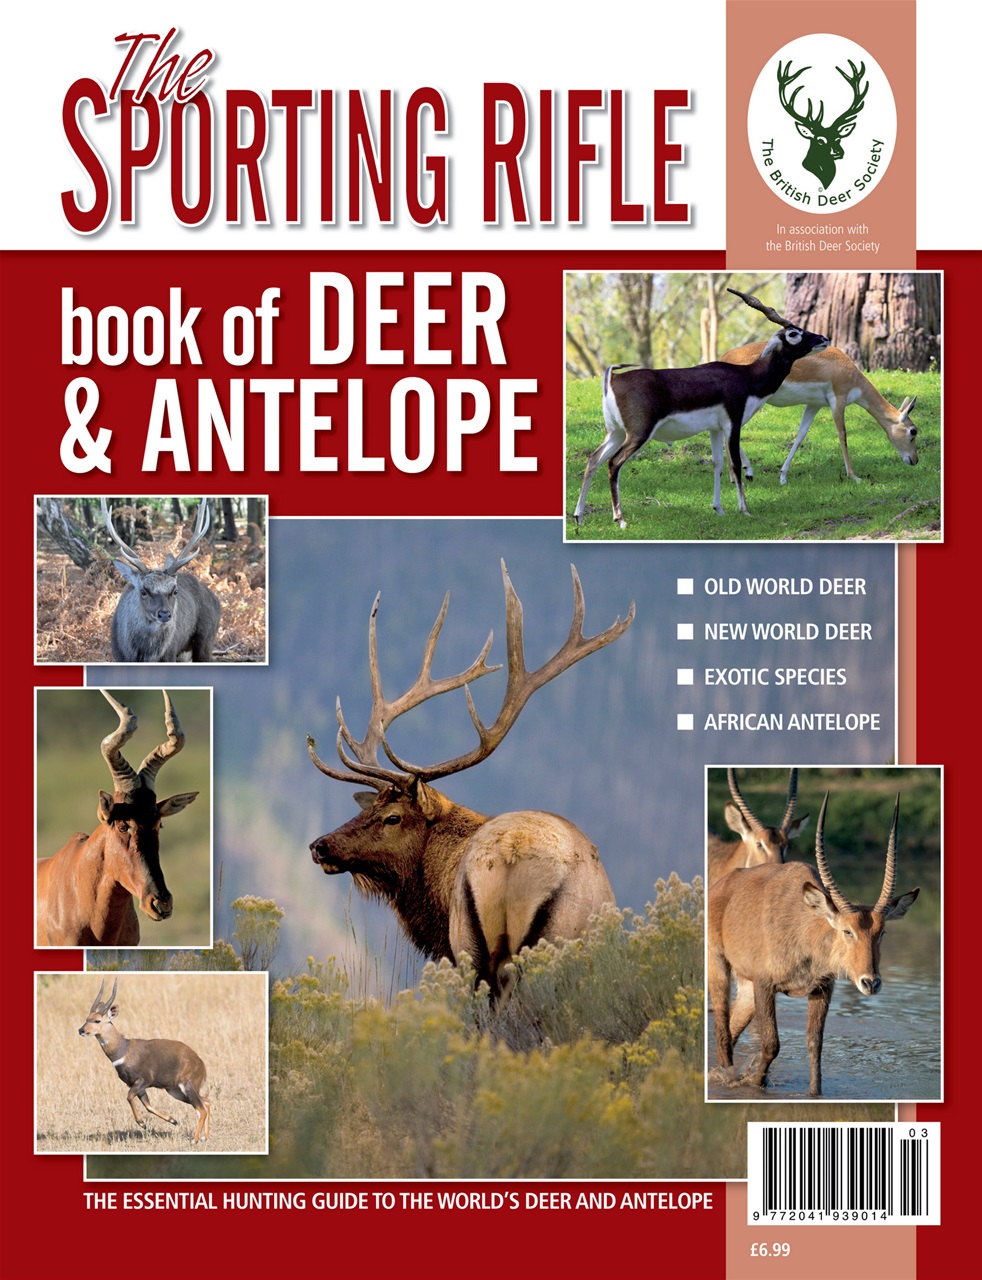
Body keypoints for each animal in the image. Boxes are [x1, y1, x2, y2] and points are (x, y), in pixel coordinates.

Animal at [79, 978, 210, 1143]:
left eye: (97, 1020)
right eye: (87, 1018)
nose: (81, 1030)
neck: (124, 1049)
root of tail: (201, 1065)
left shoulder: (142, 1081)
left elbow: (129, 1097)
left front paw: (142, 1123)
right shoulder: (137, 1086)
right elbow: (147, 1105)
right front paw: (172, 1120)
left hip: (187, 1087)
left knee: (202, 1108)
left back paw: (195, 1139)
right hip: (176, 1091)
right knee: (206, 1102)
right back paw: (204, 1137)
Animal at [102, 498, 222, 662]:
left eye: (175, 591)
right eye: (143, 591)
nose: (164, 614)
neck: (142, 654)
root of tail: (216, 600)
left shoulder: (169, 654)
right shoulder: (118, 654)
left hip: (206, 639)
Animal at [572, 305, 829, 528]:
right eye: (794, 333)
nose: (824, 339)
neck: (748, 378)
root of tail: (613, 380)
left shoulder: (715, 429)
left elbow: (717, 463)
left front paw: (719, 509)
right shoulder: (733, 424)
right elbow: (735, 465)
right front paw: (744, 510)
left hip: (615, 432)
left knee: (593, 460)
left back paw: (579, 516)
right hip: (638, 434)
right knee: (613, 463)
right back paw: (620, 519)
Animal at [708, 792, 919, 1096]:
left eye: (882, 932)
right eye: (847, 931)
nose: (870, 983)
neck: (806, 931)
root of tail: (723, 883)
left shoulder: (821, 989)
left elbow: (815, 1045)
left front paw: (814, 1093)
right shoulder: (765, 984)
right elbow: (772, 1043)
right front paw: (756, 1082)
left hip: (746, 988)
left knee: (733, 1028)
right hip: (719, 966)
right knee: (722, 1028)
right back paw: (728, 1077)